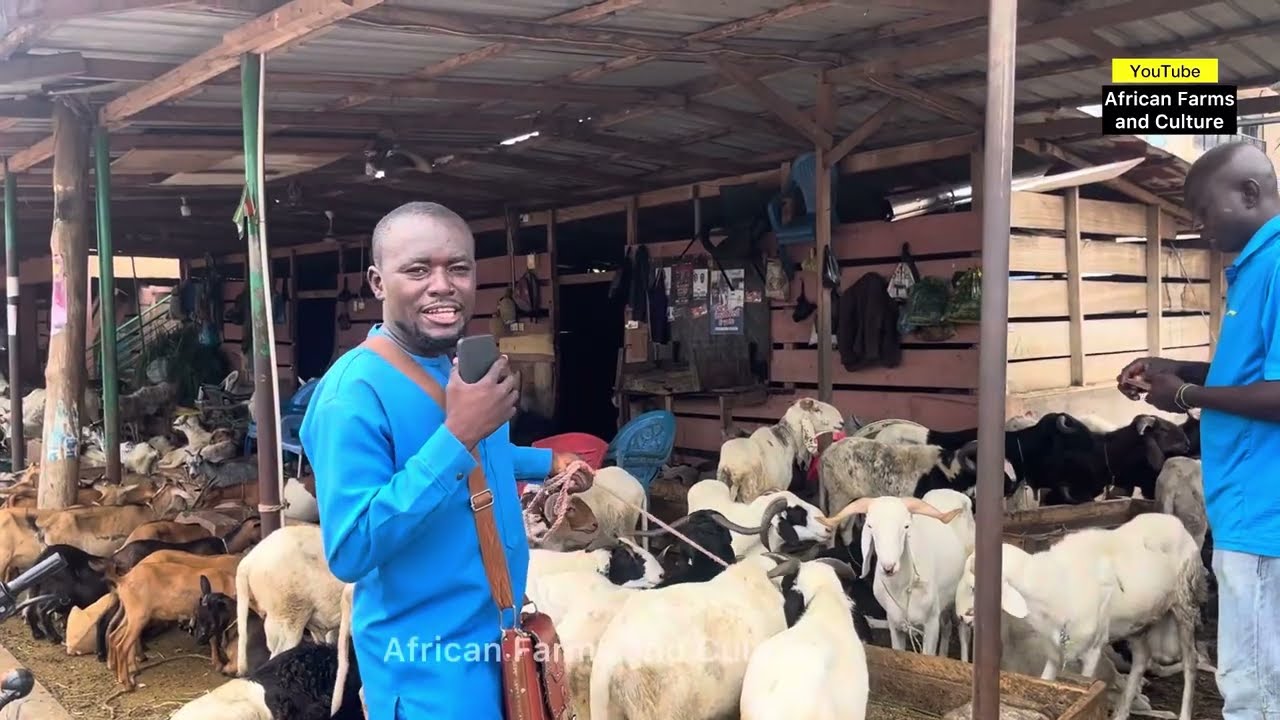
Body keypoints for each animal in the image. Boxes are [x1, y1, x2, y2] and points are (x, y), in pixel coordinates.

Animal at [717, 397, 846, 503]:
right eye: (817, 409)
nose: (842, 422)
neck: (786, 442)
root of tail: (729, 467)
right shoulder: (780, 486)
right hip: (749, 492)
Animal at [953, 513, 1204, 720]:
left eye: (974, 587)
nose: (961, 617)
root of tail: (1176, 522)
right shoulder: (1055, 652)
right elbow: (1044, 683)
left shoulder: (1092, 651)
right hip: (1138, 622)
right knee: (1141, 659)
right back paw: (1122, 712)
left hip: (1185, 606)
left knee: (1190, 663)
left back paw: (1183, 713)